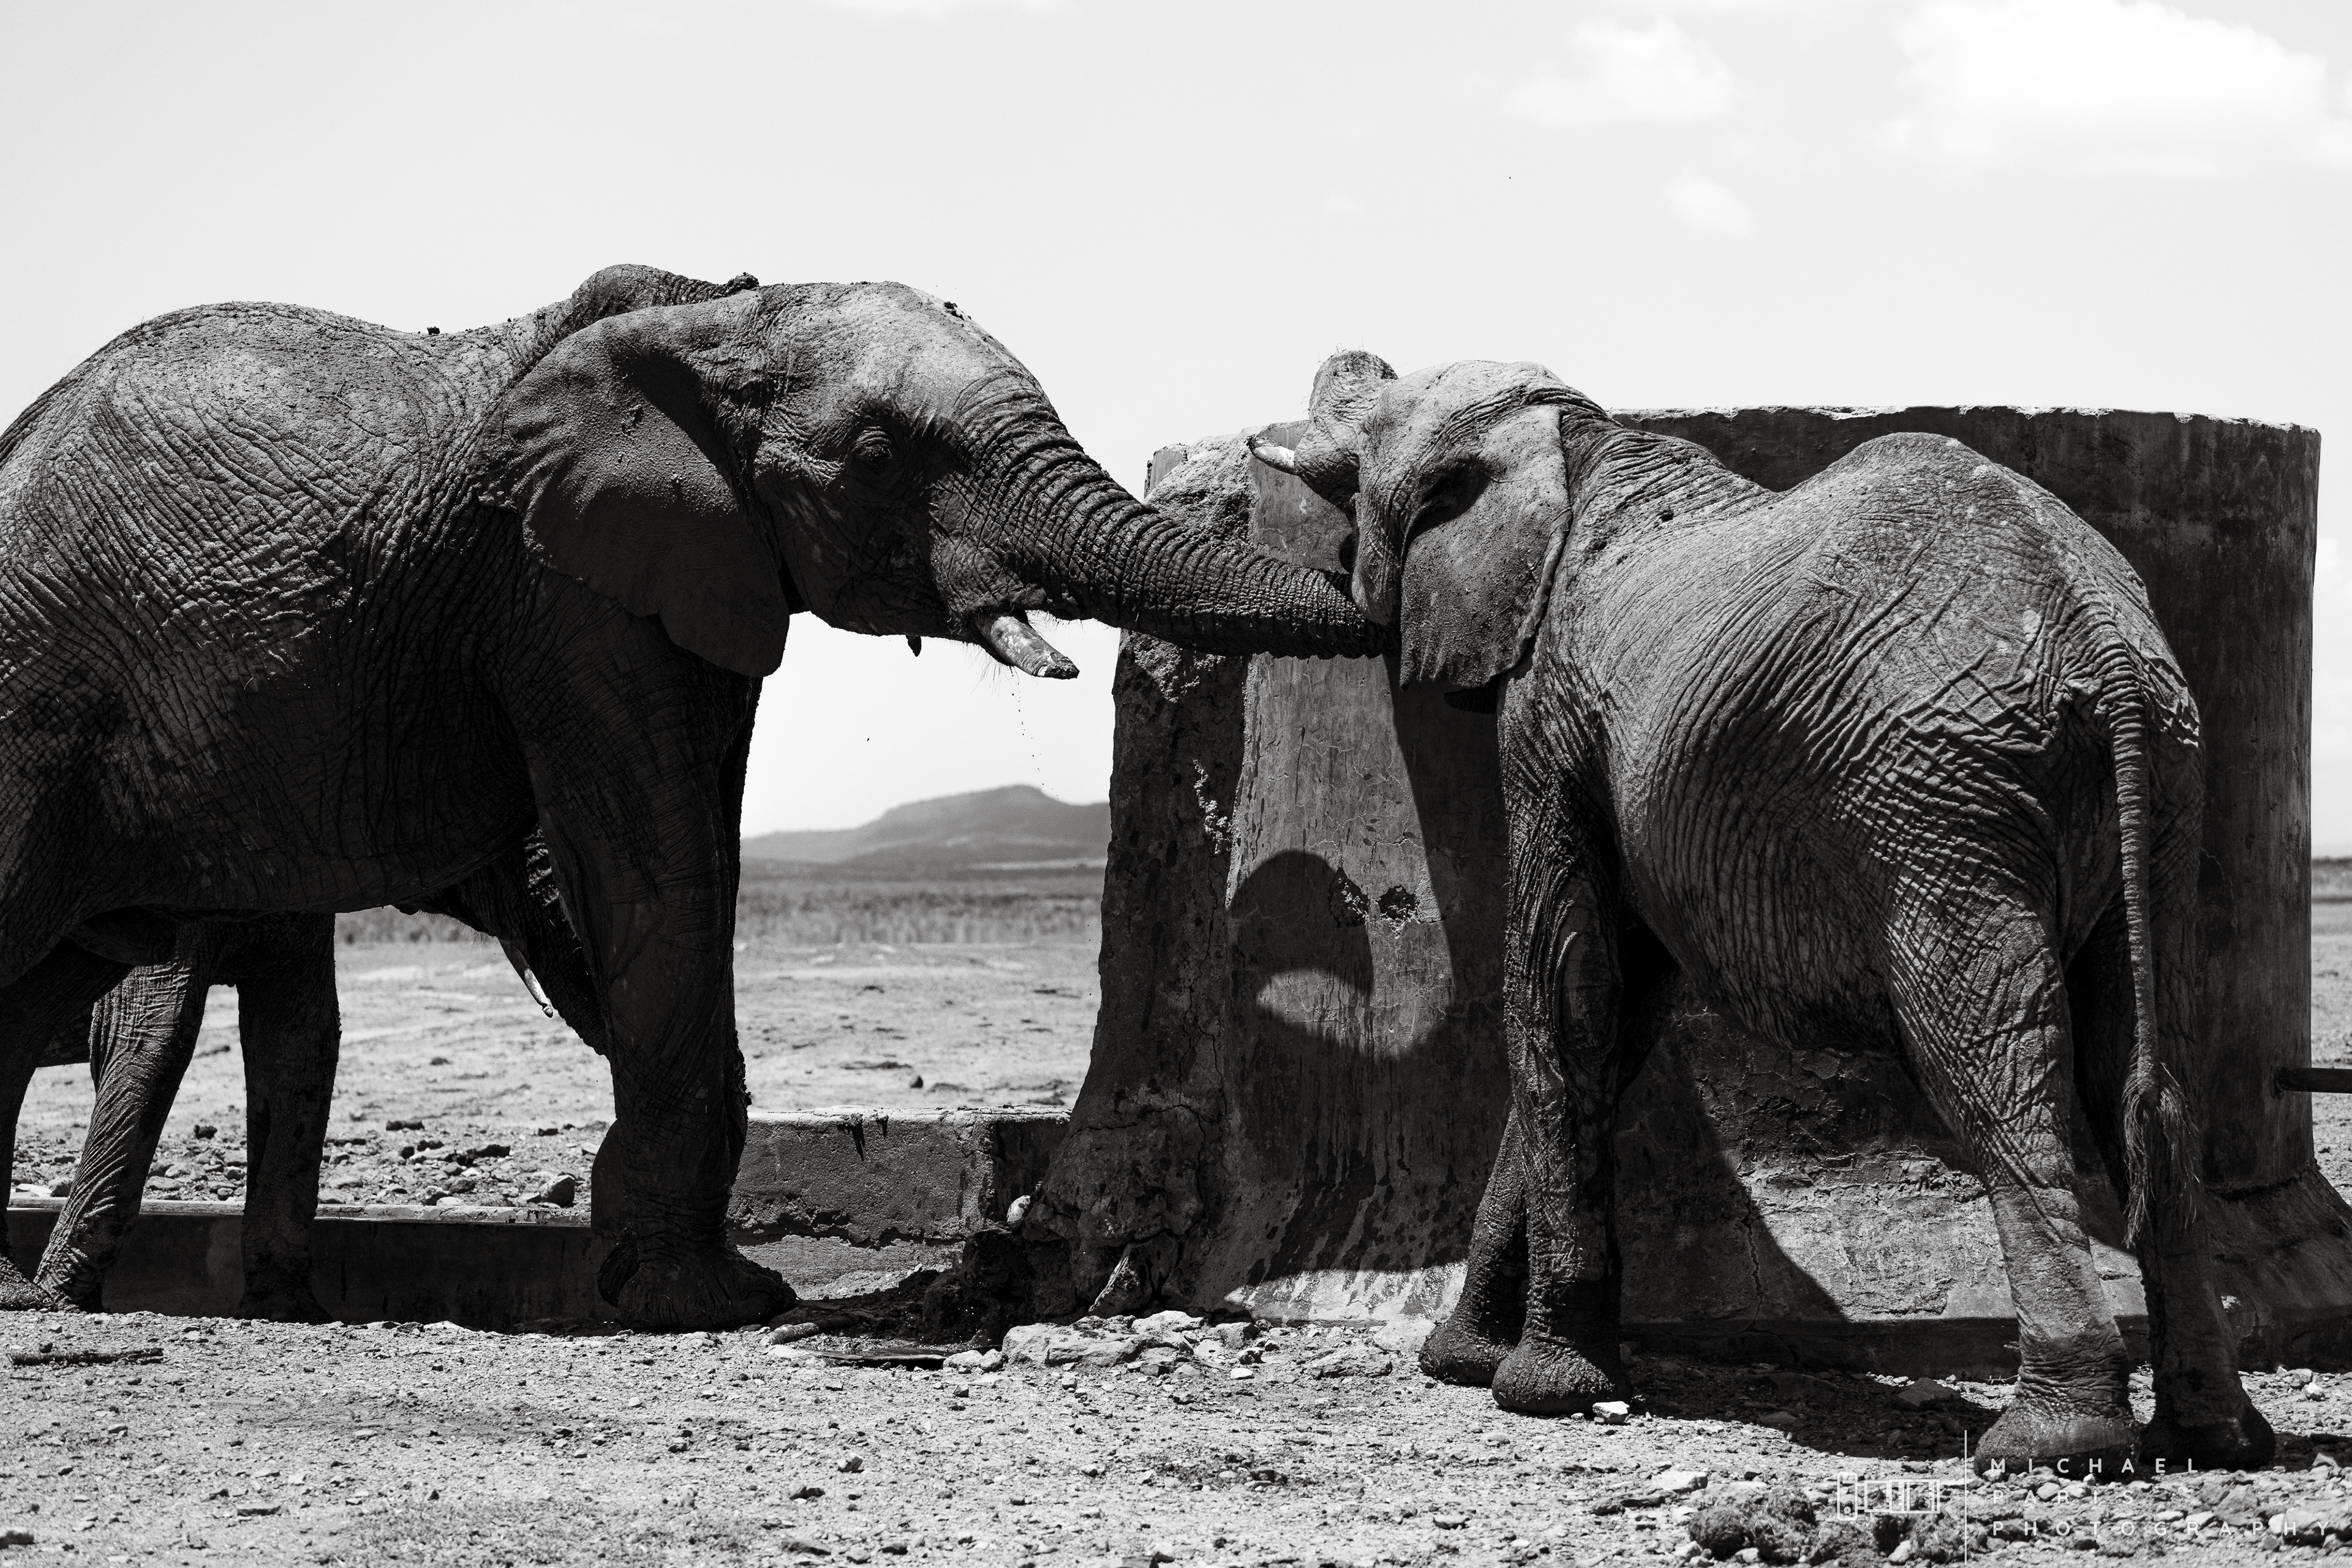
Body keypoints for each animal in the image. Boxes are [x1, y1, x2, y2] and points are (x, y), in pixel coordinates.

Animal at [1249, 352, 2270, 1475]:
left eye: (1366, 454)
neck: (1571, 432)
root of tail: (2107, 649)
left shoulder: (1548, 710)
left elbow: (1563, 985)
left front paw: (1541, 1390)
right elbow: (1614, 1013)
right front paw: (1466, 1363)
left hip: (1942, 803)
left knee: (1996, 1074)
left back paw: (2048, 1444)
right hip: (2165, 785)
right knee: (2145, 1075)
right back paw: (2215, 1436)